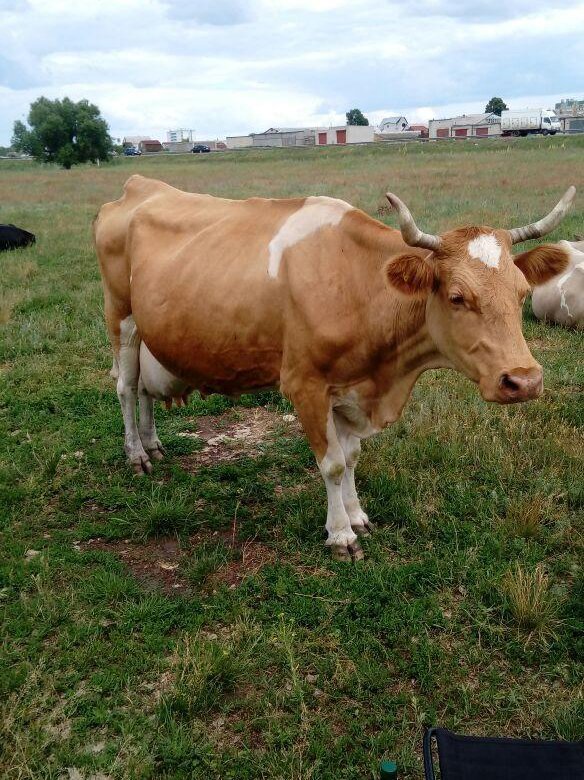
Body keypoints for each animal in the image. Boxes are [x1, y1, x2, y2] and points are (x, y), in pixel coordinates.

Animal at [94, 175, 575, 561]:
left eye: (522, 291)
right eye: (457, 296)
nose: (524, 381)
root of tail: (140, 185)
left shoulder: (351, 386)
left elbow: (353, 456)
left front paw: (357, 514)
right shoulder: (304, 384)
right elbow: (332, 464)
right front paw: (341, 534)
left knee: (142, 390)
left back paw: (153, 443)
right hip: (121, 316)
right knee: (126, 387)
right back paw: (137, 454)